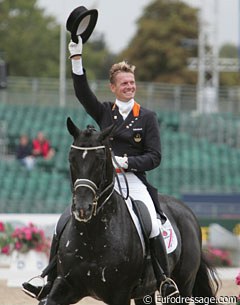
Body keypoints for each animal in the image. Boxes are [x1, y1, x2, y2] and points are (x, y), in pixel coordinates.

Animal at [41, 118, 219, 304]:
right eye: (71, 159)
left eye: (100, 160)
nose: (82, 208)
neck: (92, 235)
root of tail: (186, 211)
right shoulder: (66, 284)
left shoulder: (120, 293)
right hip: (146, 291)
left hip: (183, 284)